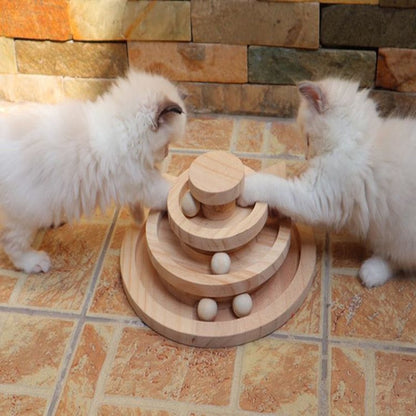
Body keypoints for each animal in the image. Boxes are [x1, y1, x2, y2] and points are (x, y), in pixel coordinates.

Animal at [0, 69, 185, 272]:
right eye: (166, 145)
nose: (166, 153)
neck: (123, 129)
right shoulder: (142, 182)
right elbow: (168, 191)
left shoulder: (136, 182)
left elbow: (138, 205)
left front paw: (138, 218)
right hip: (24, 214)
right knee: (12, 244)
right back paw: (34, 262)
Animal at [239, 77, 416, 286]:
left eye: (307, 140)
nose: (307, 157)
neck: (358, 140)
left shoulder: (316, 196)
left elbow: (274, 186)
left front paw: (246, 187)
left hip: (401, 235)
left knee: (398, 260)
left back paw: (371, 272)